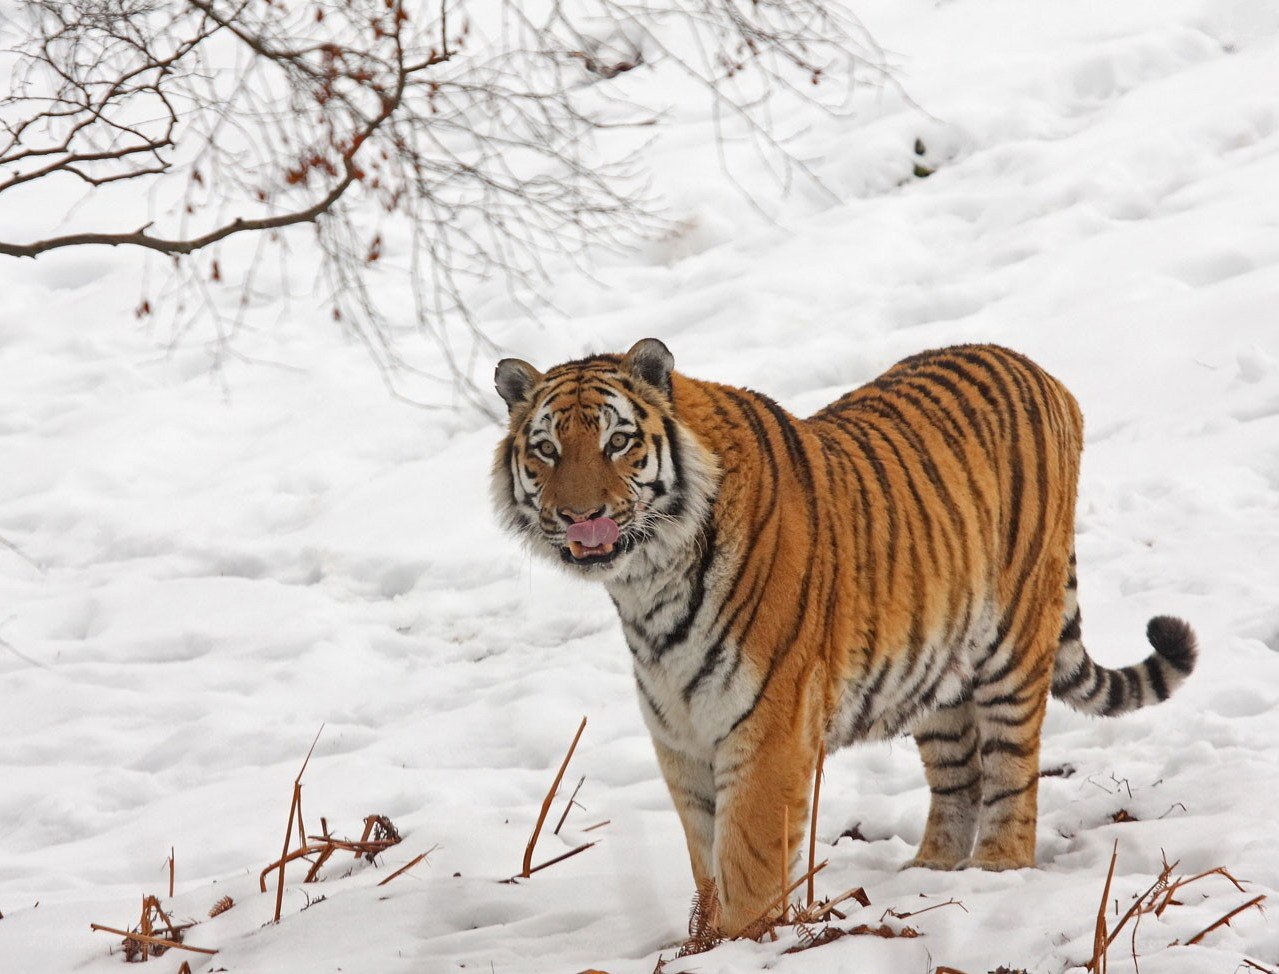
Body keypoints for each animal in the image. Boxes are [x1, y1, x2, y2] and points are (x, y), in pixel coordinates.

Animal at [491, 339, 1197, 935]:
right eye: (547, 449)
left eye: (618, 441)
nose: (581, 518)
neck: (647, 586)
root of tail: (1038, 369)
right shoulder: (680, 736)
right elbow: (705, 855)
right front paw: (704, 941)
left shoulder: (768, 727)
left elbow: (746, 858)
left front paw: (743, 942)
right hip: (936, 668)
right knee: (958, 776)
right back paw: (932, 870)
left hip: (1013, 643)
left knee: (1011, 768)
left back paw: (997, 865)